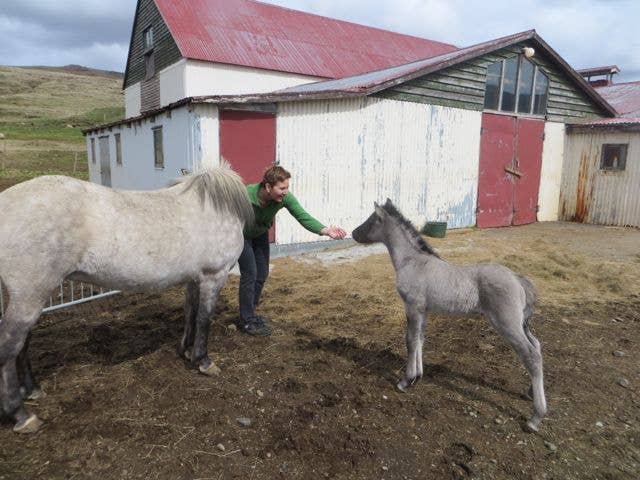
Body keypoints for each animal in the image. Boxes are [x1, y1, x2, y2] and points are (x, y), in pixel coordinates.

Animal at [0, 163, 254, 433]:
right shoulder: (213, 276)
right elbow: (204, 319)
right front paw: (203, 361)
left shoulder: (194, 279)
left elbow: (191, 315)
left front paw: (186, 351)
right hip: (29, 297)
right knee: (9, 347)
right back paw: (21, 415)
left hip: (31, 296)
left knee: (22, 343)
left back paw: (33, 390)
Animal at [352, 199, 547, 432]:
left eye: (371, 220)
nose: (353, 233)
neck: (413, 261)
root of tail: (518, 279)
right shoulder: (423, 310)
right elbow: (420, 340)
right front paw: (418, 376)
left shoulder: (412, 307)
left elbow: (410, 341)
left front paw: (406, 380)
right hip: (521, 324)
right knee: (537, 345)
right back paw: (529, 392)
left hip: (507, 324)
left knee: (531, 355)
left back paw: (536, 418)